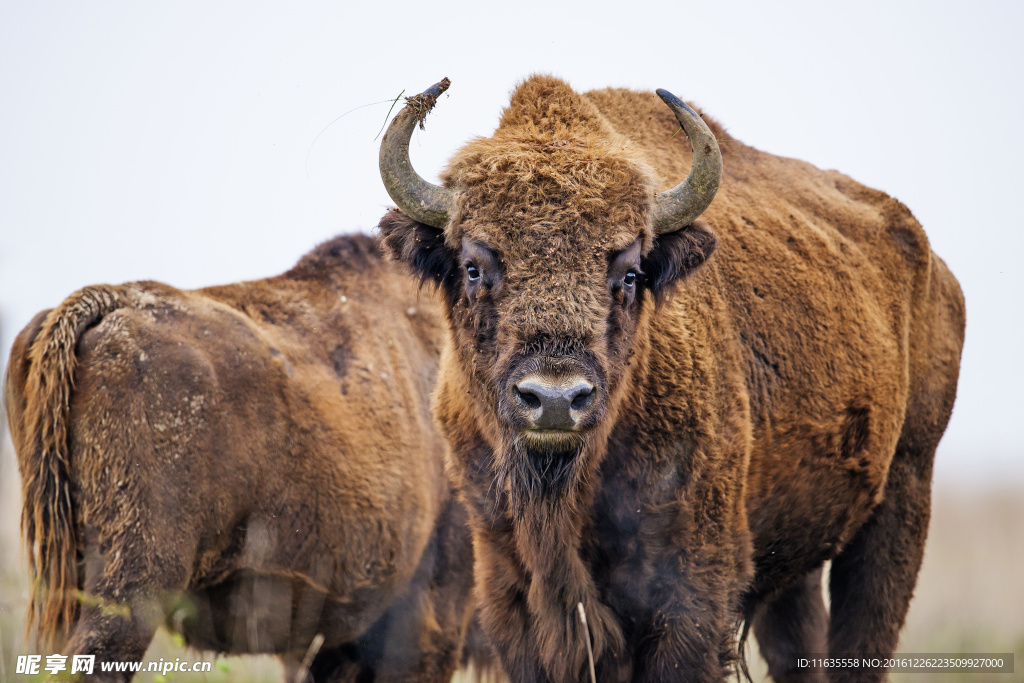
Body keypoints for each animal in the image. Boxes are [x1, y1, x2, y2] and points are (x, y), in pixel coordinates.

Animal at [378, 76, 966, 683]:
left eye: (629, 273)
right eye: (473, 267)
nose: (557, 399)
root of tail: (935, 268)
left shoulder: (691, 597)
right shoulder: (508, 588)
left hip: (904, 493)